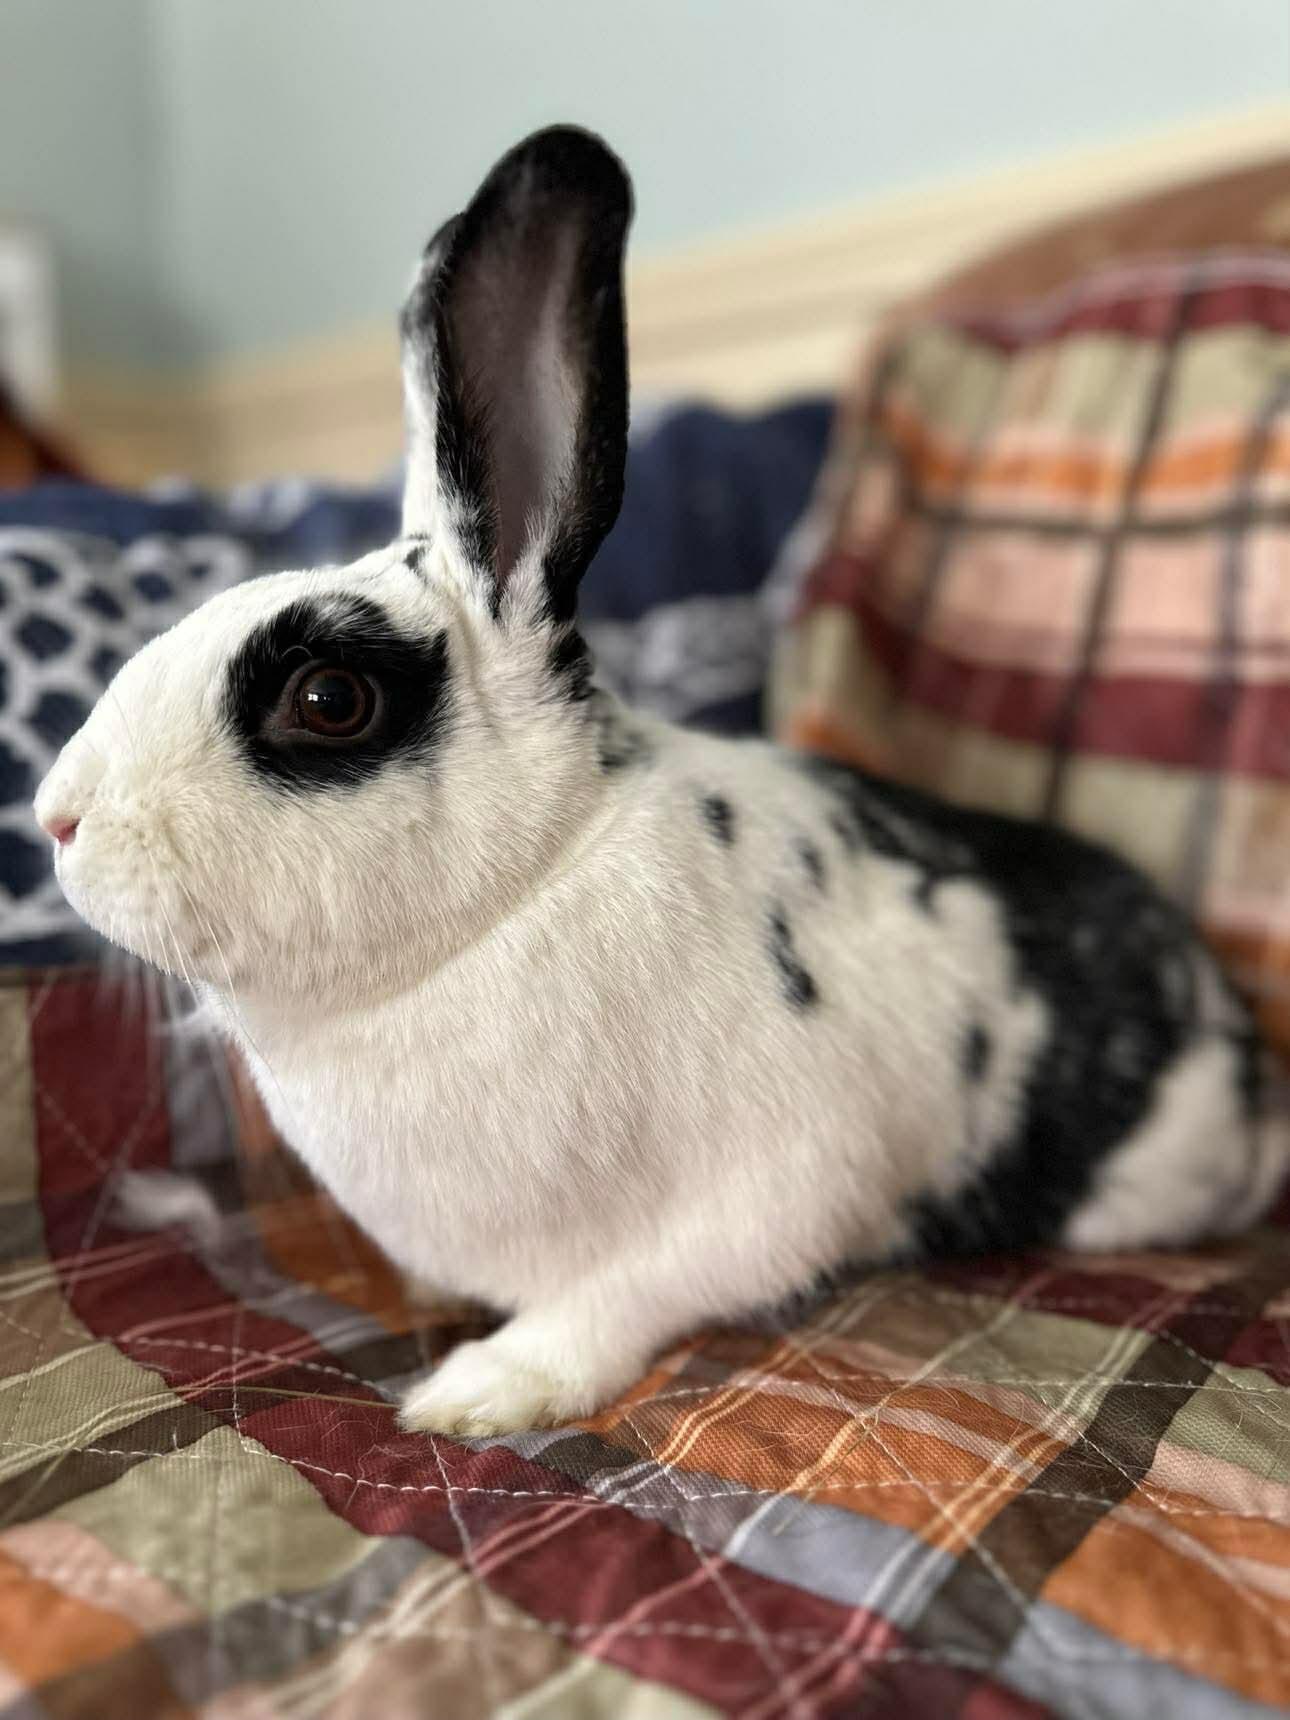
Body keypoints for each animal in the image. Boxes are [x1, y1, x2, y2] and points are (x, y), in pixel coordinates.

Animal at [34, 126, 1290, 1437]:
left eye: (329, 698)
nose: (57, 817)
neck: (513, 904)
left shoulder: (775, 1189)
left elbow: (622, 1296)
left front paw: (478, 1390)